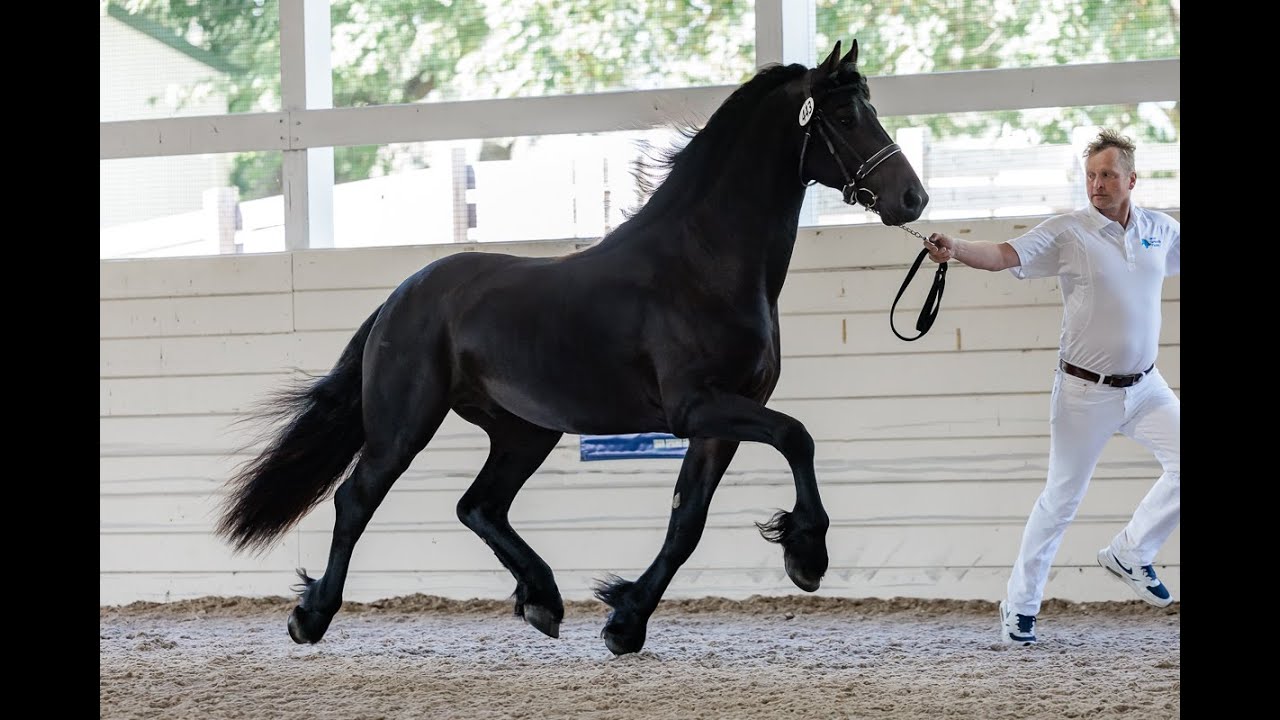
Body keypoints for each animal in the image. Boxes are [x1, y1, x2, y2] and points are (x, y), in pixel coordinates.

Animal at [215, 39, 928, 656]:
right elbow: (796, 437)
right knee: (357, 499)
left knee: (478, 505)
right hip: (405, 422)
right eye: (845, 116)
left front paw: (626, 621)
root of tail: (404, 294)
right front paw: (806, 555)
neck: (703, 266)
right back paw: (312, 616)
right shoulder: (698, 408)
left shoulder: (717, 422)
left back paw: (542, 600)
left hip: (526, 431)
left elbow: (686, 523)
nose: (912, 198)